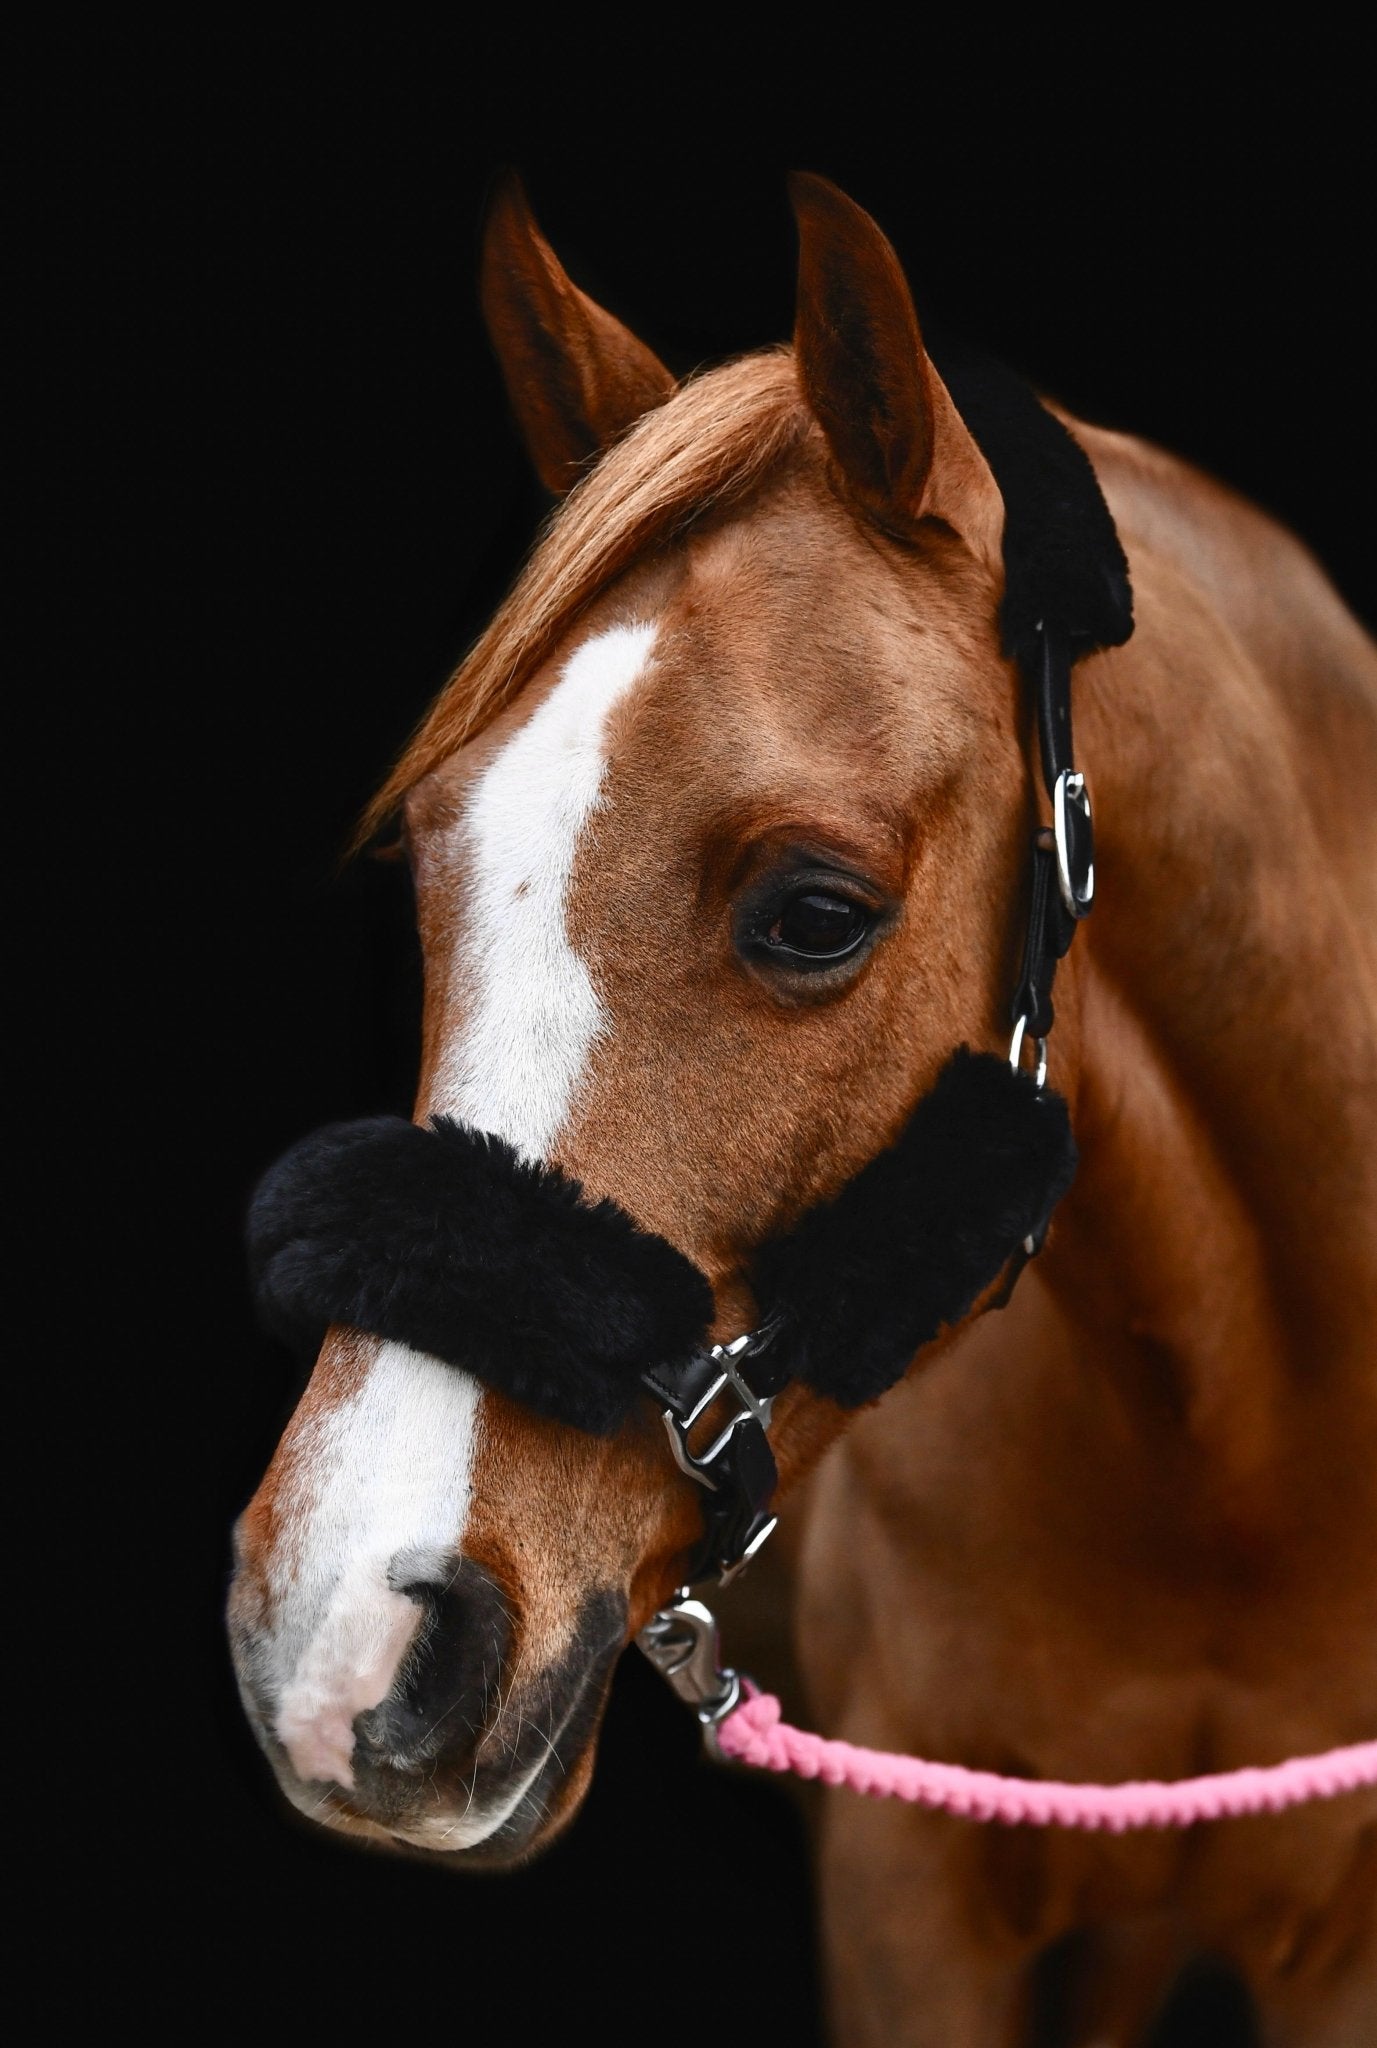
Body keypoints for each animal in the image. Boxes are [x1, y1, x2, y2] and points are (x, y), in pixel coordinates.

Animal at [228, 180, 1377, 2048]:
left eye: (817, 913)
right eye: (428, 859)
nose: (342, 1643)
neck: (1233, 1479)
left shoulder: (1333, 1936)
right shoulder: (909, 1903)